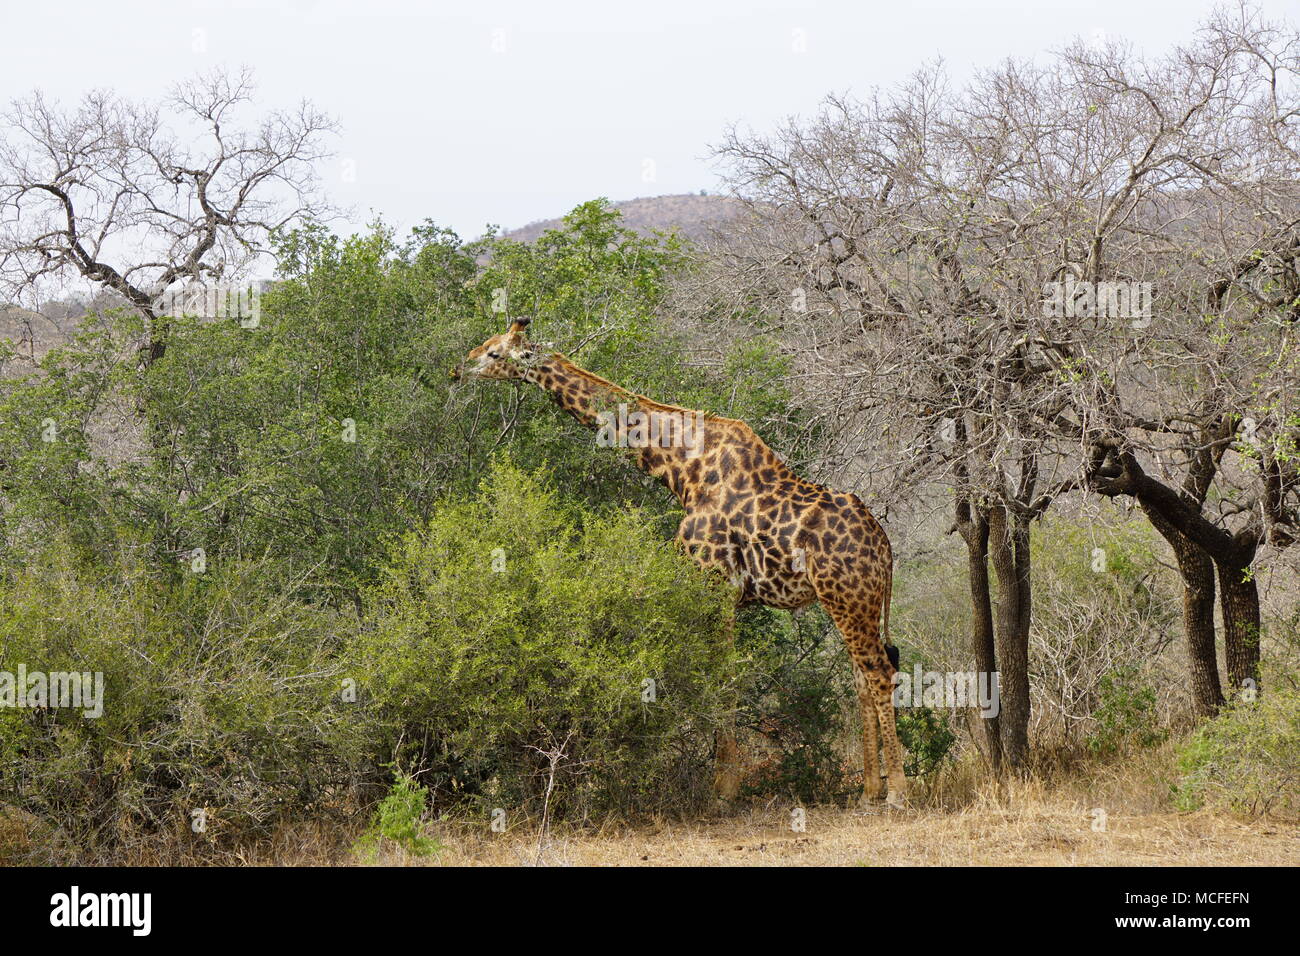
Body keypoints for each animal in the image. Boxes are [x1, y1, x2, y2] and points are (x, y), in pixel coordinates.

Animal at [452, 319, 909, 806]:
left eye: (495, 353)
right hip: (848, 601)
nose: (459, 369)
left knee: (879, 673)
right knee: (862, 677)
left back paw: (898, 793)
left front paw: (723, 787)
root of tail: (883, 545)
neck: (682, 468)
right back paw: (868, 790)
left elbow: (725, 679)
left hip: (850, 597)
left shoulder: (715, 584)